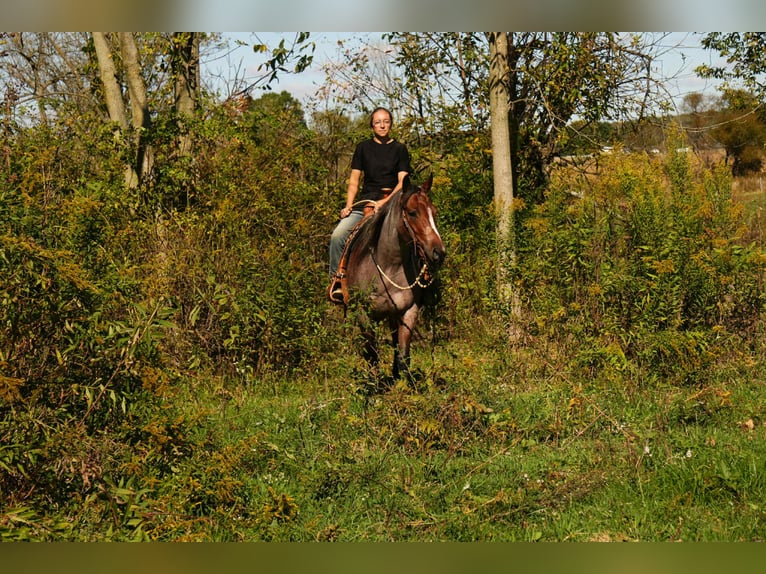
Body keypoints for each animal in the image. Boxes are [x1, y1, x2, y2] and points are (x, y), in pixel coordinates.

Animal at [336, 175, 446, 384]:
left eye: (434, 212)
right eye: (412, 213)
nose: (439, 252)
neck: (389, 264)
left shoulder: (408, 311)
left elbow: (403, 356)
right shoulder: (364, 314)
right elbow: (371, 356)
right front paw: (373, 388)